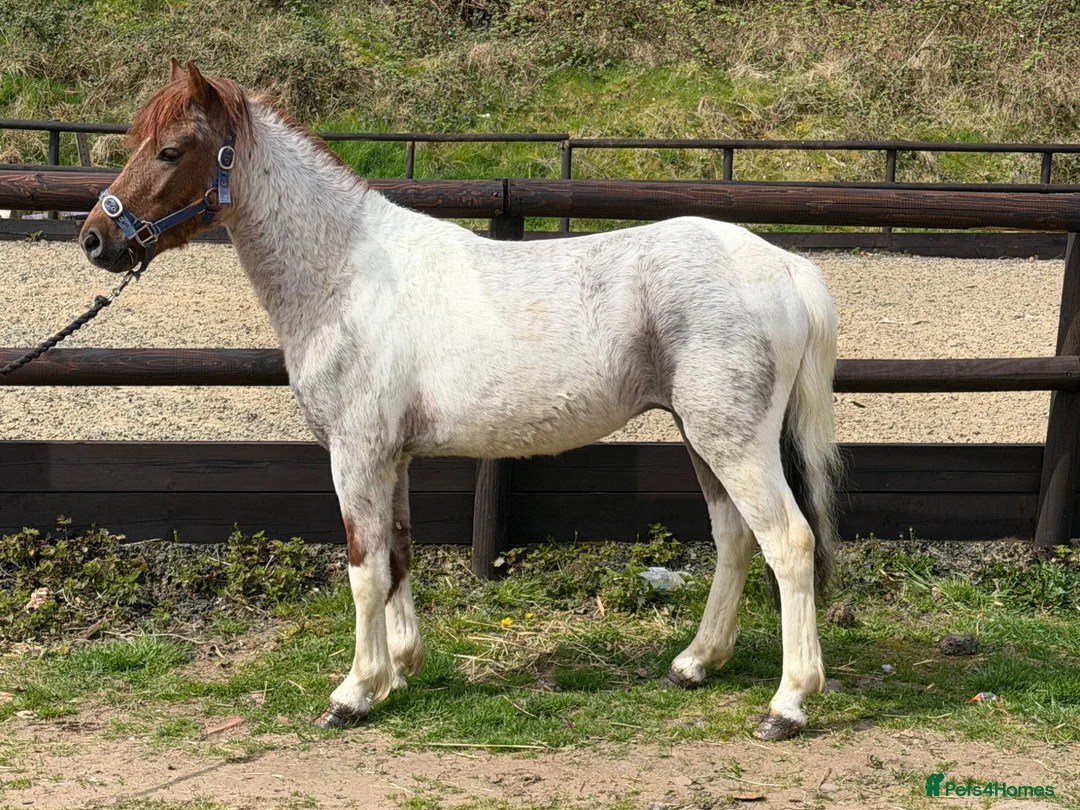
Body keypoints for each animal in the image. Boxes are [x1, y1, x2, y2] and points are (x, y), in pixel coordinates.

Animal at [79, 60, 842, 741]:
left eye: (171, 149)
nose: (96, 238)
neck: (345, 275)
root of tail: (785, 266)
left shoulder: (356, 454)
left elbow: (363, 568)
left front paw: (353, 692)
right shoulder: (392, 458)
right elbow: (398, 556)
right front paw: (399, 670)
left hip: (733, 439)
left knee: (789, 543)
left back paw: (789, 704)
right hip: (702, 434)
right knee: (735, 538)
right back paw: (696, 663)